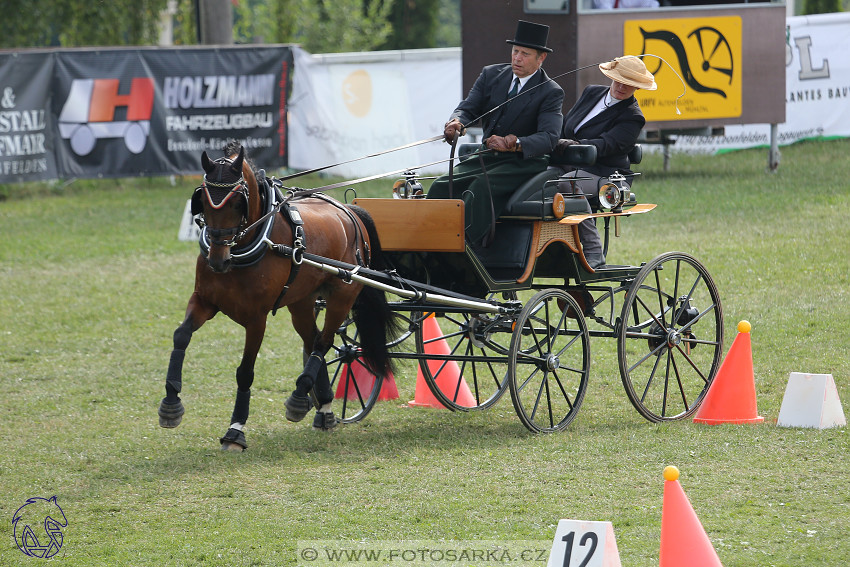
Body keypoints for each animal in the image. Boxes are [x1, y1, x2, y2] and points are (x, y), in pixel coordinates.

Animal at [157, 142, 392, 452]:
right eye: (203, 202)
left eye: (237, 203)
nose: (218, 260)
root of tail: (349, 211)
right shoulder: (204, 301)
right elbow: (180, 335)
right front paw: (171, 403)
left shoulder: (256, 319)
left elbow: (245, 372)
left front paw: (235, 430)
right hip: (301, 302)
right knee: (313, 340)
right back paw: (324, 407)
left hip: (342, 295)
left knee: (325, 341)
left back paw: (300, 397)